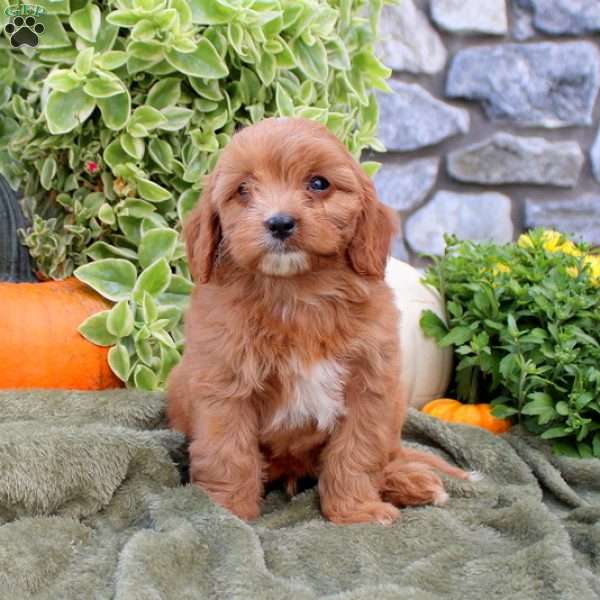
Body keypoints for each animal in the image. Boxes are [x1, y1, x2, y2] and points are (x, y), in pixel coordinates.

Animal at [165, 118, 474, 524]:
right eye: (243, 190)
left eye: (318, 183)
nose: (280, 223)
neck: (296, 294)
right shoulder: (224, 386)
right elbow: (227, 453)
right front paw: (227, 512)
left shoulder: (369, 386)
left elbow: (358, 451)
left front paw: (356, 510)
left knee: (390, 453)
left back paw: (410, 481)